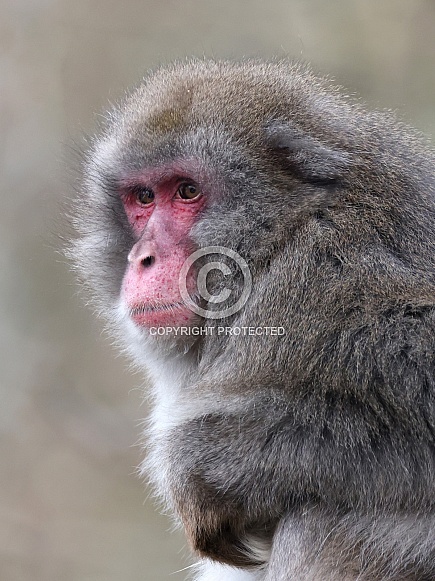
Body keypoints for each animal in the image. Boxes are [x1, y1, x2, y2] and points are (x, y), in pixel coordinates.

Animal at [68, 60, 435, 580]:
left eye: (188, 191)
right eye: (143, 197)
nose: (142, 258)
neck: (277, 245)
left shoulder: (330, 271)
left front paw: (203, 462)